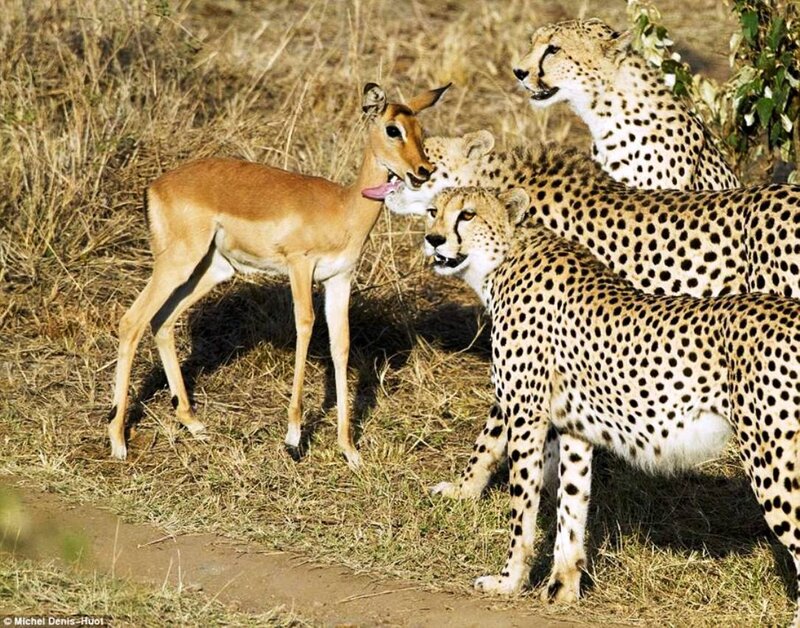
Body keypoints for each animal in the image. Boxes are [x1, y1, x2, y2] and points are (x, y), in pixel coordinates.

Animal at [109, 82, 449, 468]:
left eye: (421, 129)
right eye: (393, 129)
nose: (423, 170)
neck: (343, 209)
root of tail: (155, 187)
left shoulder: (339, 280)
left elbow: (341, 345)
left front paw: (349, 449)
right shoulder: (300, 267)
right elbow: (305, 326)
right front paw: (294, 437)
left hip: (211, 270)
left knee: (162, 321)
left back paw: (192, 422)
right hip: (178, 263)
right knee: (132, 321)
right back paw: (118, 440)